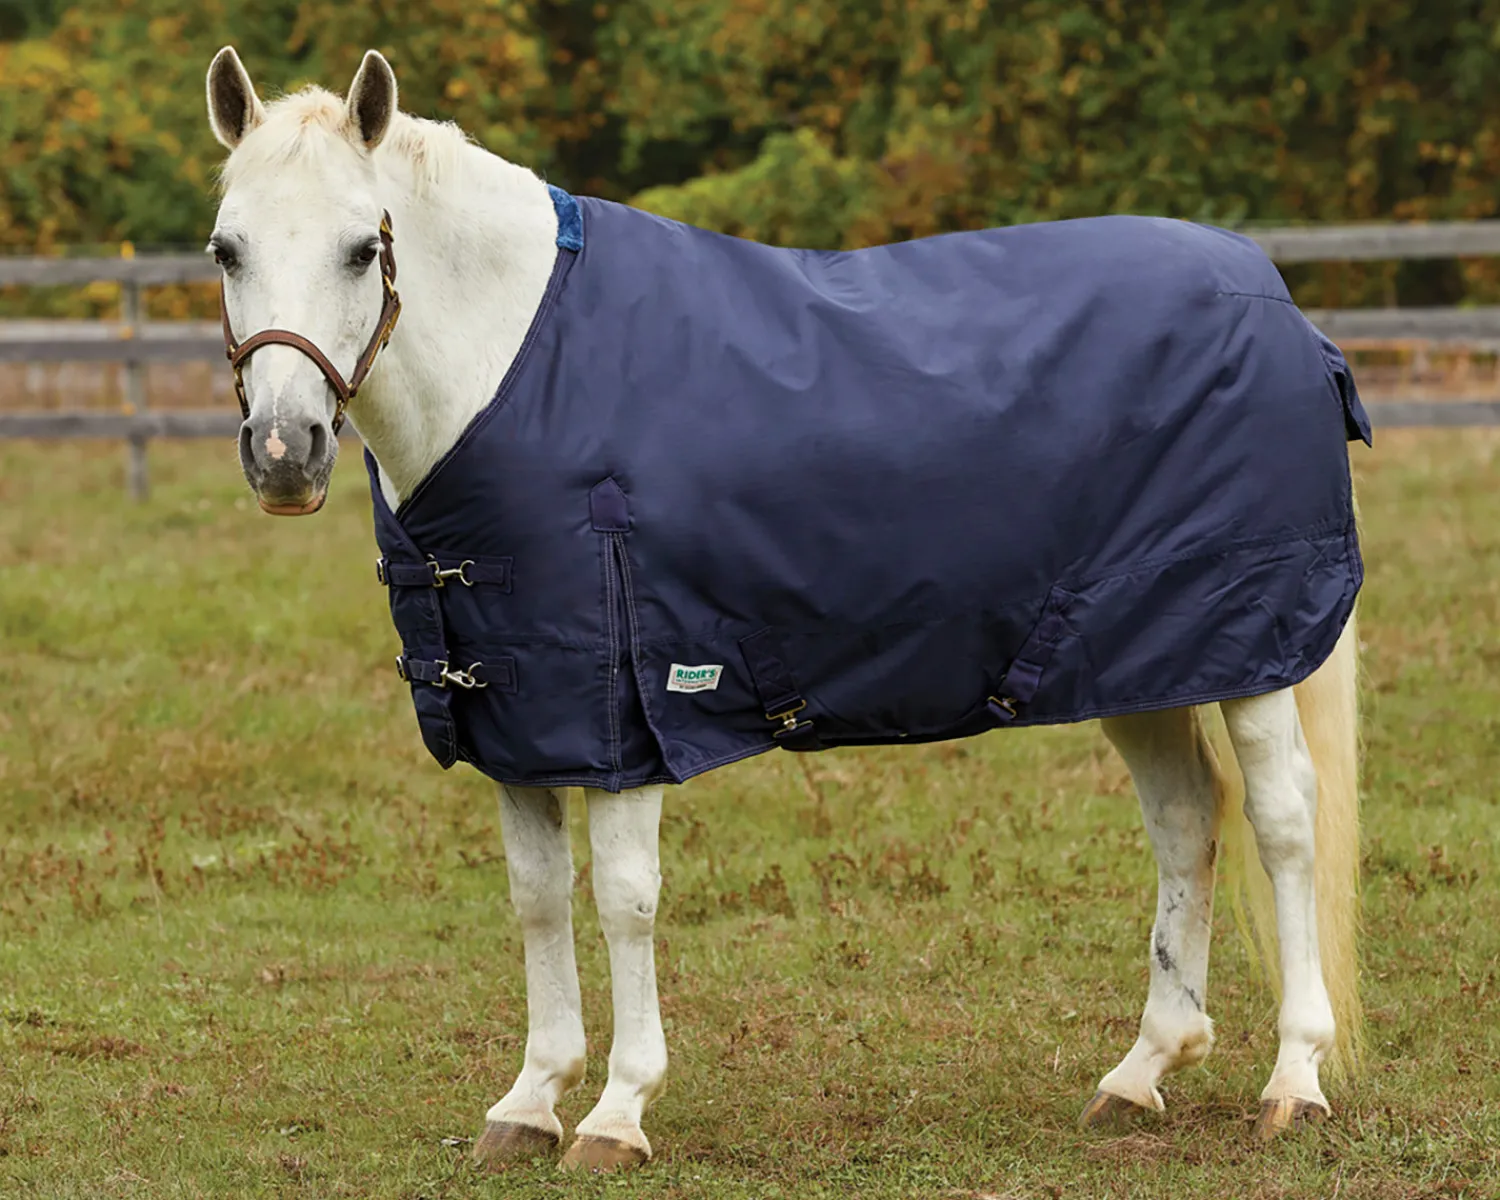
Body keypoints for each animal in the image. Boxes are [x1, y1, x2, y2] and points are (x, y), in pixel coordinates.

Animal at [204, 46, 1365, 1171]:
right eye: (225, 251)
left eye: (364, 248)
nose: (284, 453)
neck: (519, 371)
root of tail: (1271, 296)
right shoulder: (520, 720)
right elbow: (536, 897)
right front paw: (530, 1102)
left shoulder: (633, 711)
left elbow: (624, 898)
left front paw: (618, 1113)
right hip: (1140, 661)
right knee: (1185, 822)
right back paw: (1141, 1072)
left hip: (1252, 653)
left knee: (1282, 824)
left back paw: (1293, 1081)